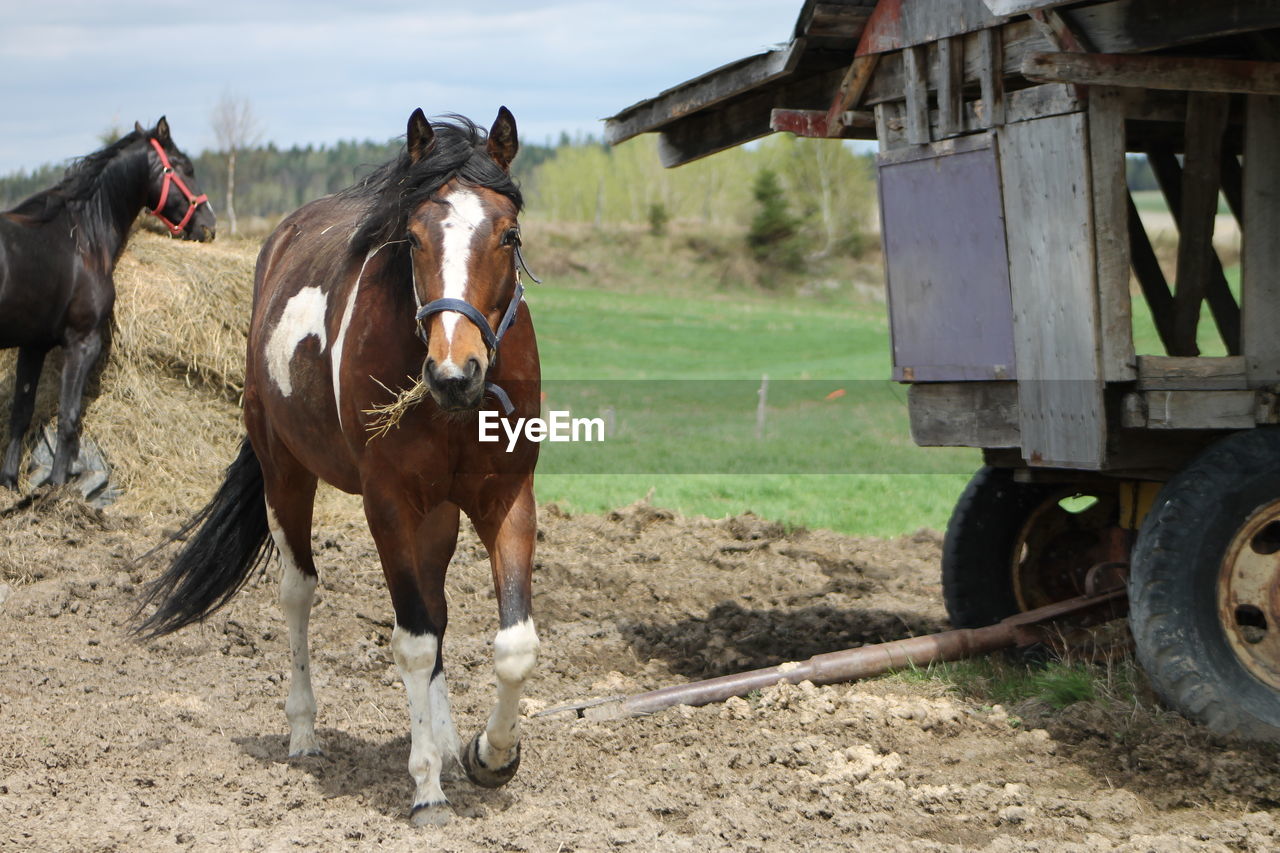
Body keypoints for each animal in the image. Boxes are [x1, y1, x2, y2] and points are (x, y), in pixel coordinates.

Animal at [0, 120, 215, 491]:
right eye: (186, 167)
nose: (208, 225)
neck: (82, 238)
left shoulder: (33, 346)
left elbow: (21, 413)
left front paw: (11, 482)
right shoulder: (83, 343)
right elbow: (68, 417)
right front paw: (57, 486)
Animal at [137, 108, 542, 824]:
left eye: (509, 234)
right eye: (413, 238)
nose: (453, 374)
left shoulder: (506, 497)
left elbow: (512, 645)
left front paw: (489, 757)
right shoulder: (388, 504)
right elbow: (411, 641)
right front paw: (426, 787)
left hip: (436, 514)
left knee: (435, 610)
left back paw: (444, 738)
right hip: (286, 476)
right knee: (300, 594)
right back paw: (305, 732)